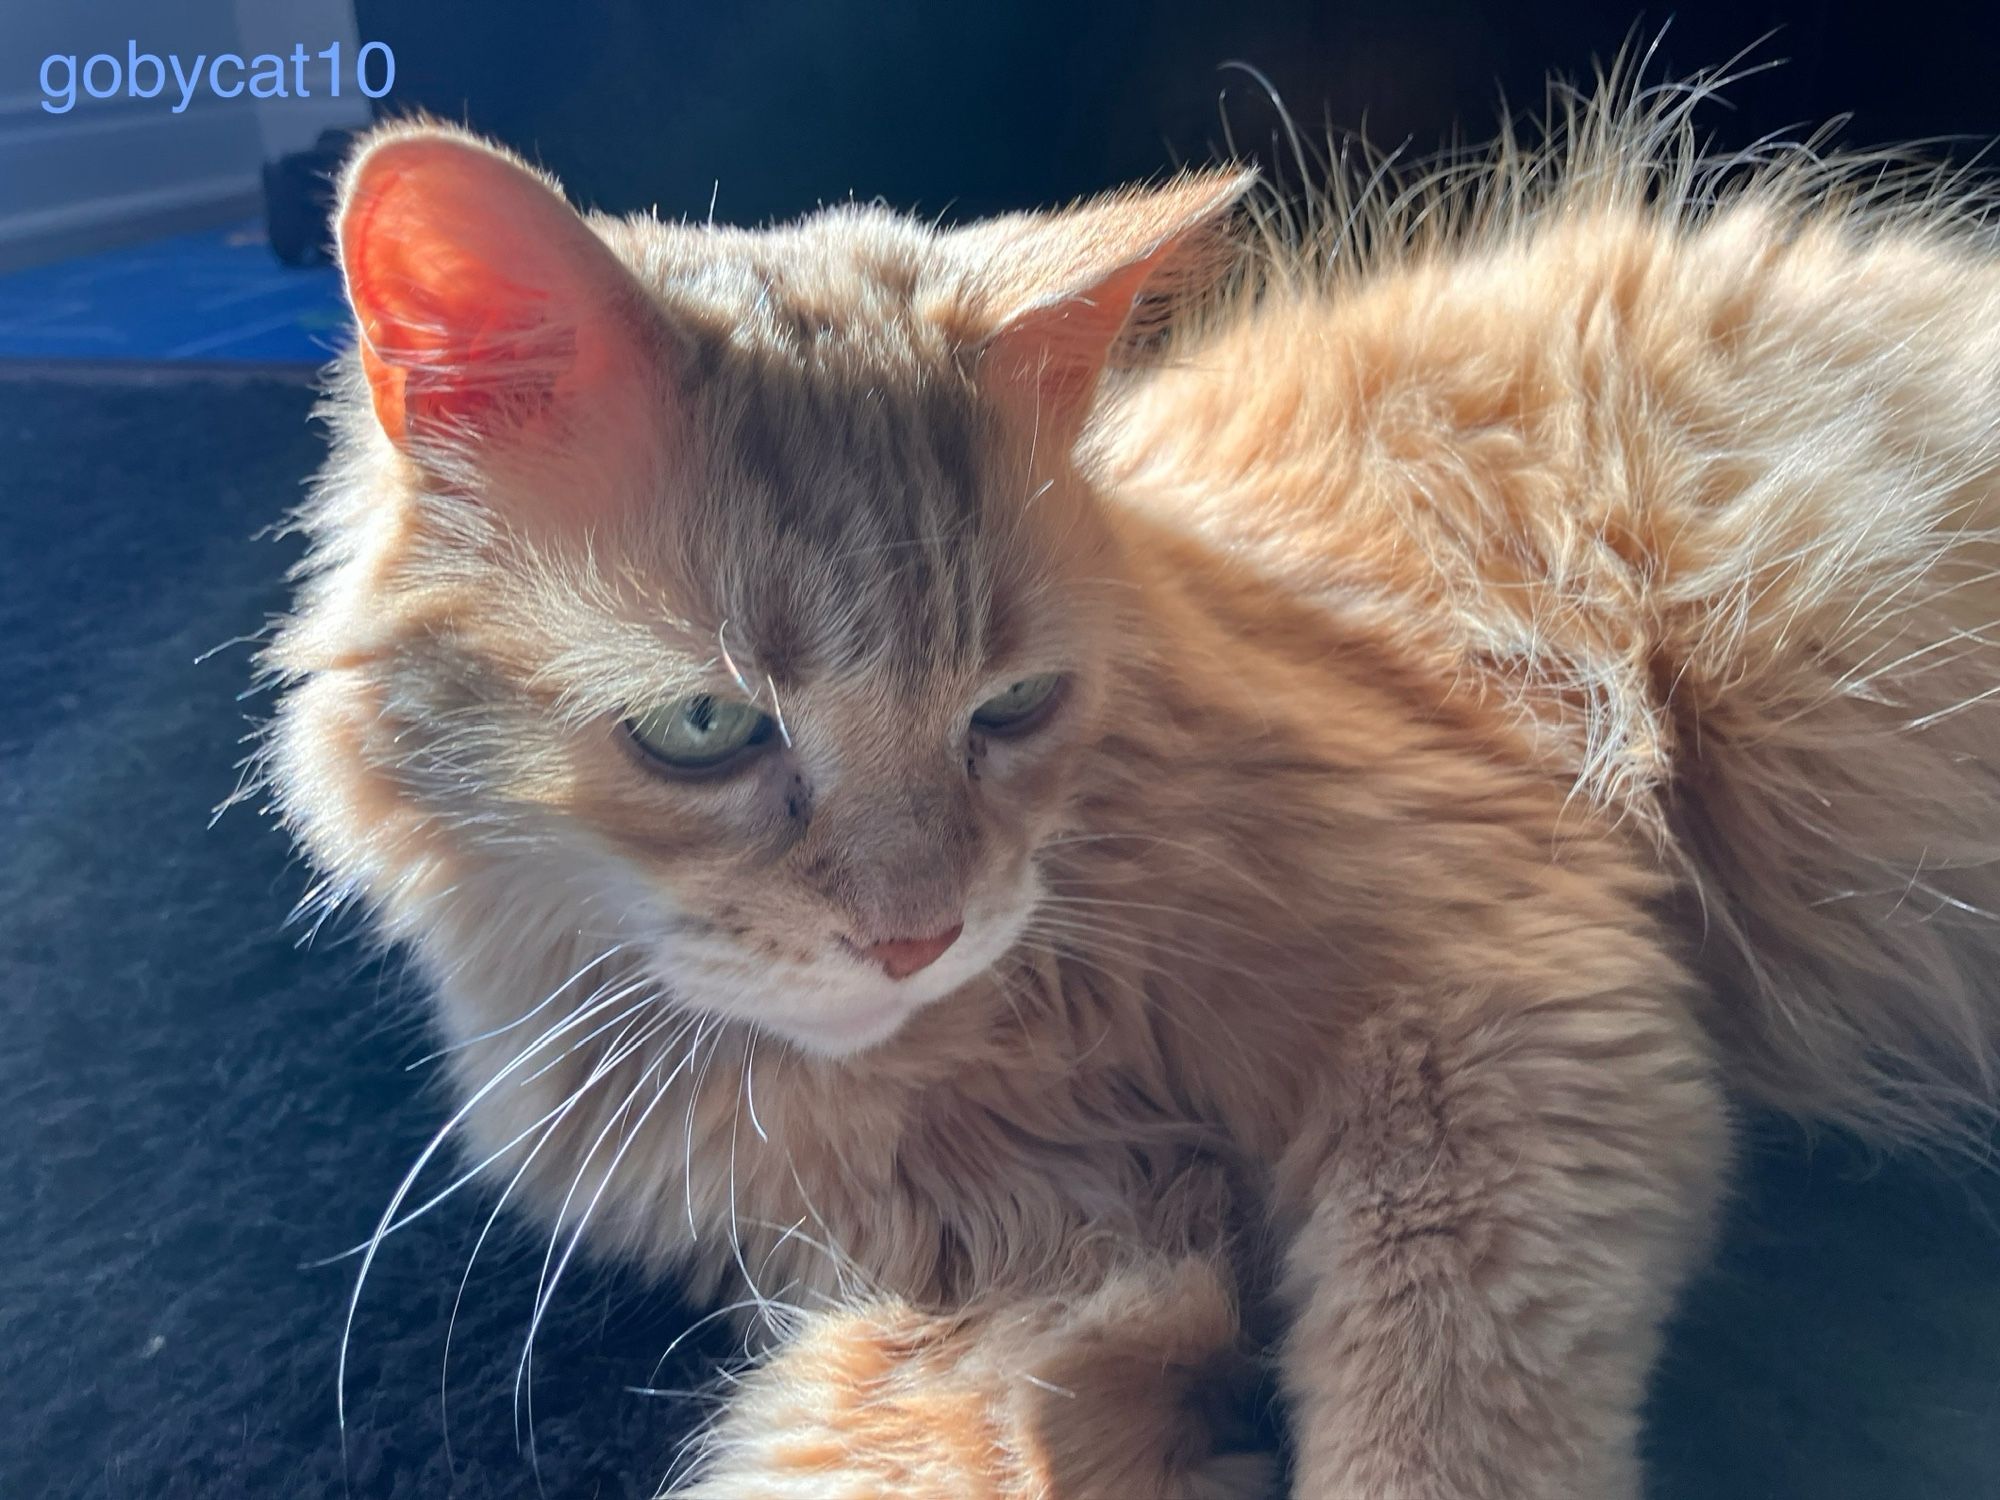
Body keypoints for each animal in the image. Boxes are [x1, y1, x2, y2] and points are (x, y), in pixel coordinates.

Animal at [258, 82, 2000, 1500]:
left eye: (1014, 707)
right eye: (704, 727)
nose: (919, 936)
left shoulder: (1514, 996)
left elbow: (1431, 1411)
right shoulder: (1013, 1268)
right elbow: (880, 1438)